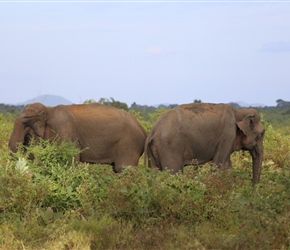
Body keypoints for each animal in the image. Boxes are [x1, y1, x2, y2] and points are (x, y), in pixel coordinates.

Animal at [9, 101, 147, 172]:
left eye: (26, 125)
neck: (49, 110)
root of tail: (143, 129)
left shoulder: (65, 131)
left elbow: (70, 161)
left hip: (129, 144)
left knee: (123, 168)